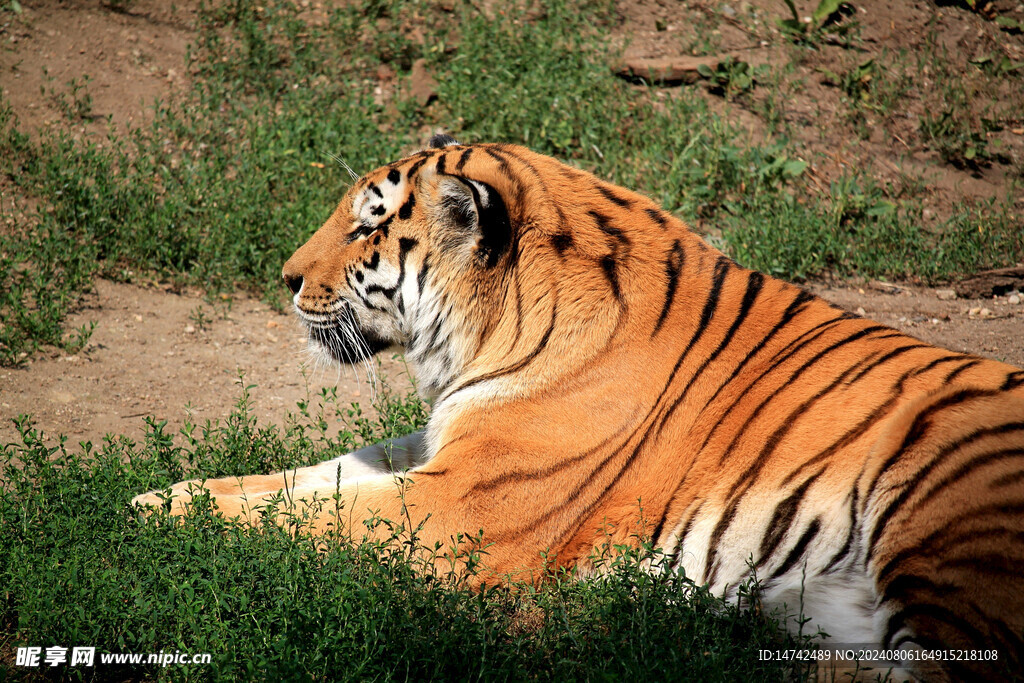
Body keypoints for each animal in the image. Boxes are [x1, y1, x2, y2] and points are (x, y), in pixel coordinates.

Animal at [133, 134, 1024, 680]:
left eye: (367, 228)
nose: (284, 276)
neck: (482, 335)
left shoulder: (465, 505)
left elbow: (314, 513)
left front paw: (152, 515)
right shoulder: (439, 446)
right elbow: (302, 480)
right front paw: (167, 492)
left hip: (943, 522)